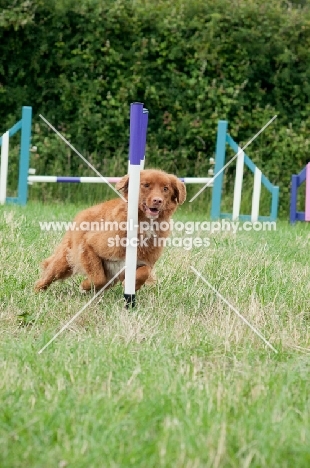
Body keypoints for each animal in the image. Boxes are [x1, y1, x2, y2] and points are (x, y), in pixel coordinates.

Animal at [35, 168, 188, 292]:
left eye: (165, 188)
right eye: (146, 185)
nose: (158, 201)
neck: (144, 225)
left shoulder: (145, 262)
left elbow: (144, 272)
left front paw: (133, 285)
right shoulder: (89, 244)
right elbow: (98, 278)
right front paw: (85, 285)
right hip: (63, 261)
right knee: (47, 276)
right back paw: (38, 291)